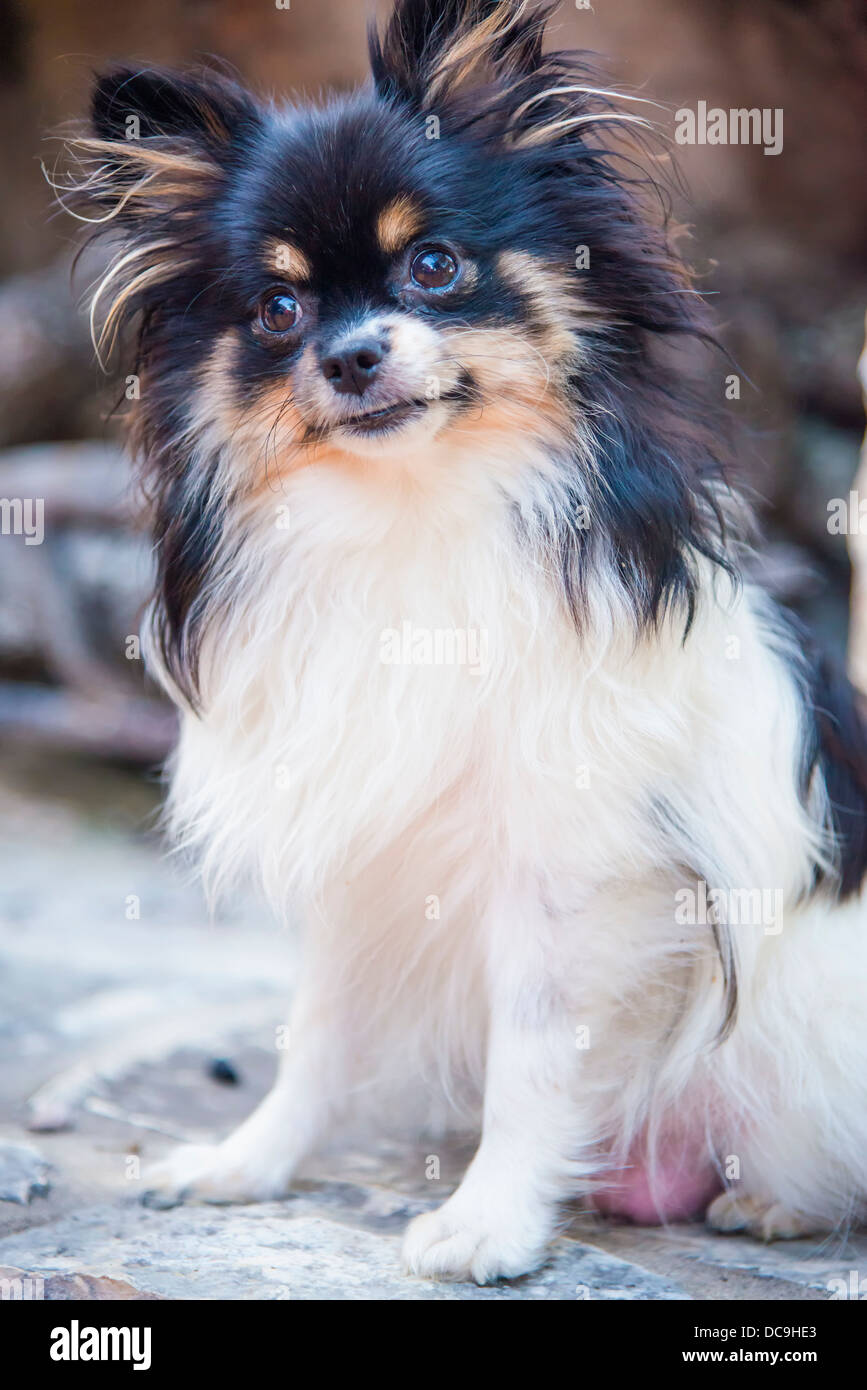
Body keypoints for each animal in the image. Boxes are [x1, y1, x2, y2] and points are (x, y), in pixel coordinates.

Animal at [52, 0, 867, 1278]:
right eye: (278, 310)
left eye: (434, 265)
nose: (349, 356)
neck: (413, 511)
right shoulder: (359, 858)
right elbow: (316, 1034)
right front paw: (250, 1161)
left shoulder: (568, 875)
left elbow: (536, 1059)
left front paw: (489, 1220)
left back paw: (776, 1202)